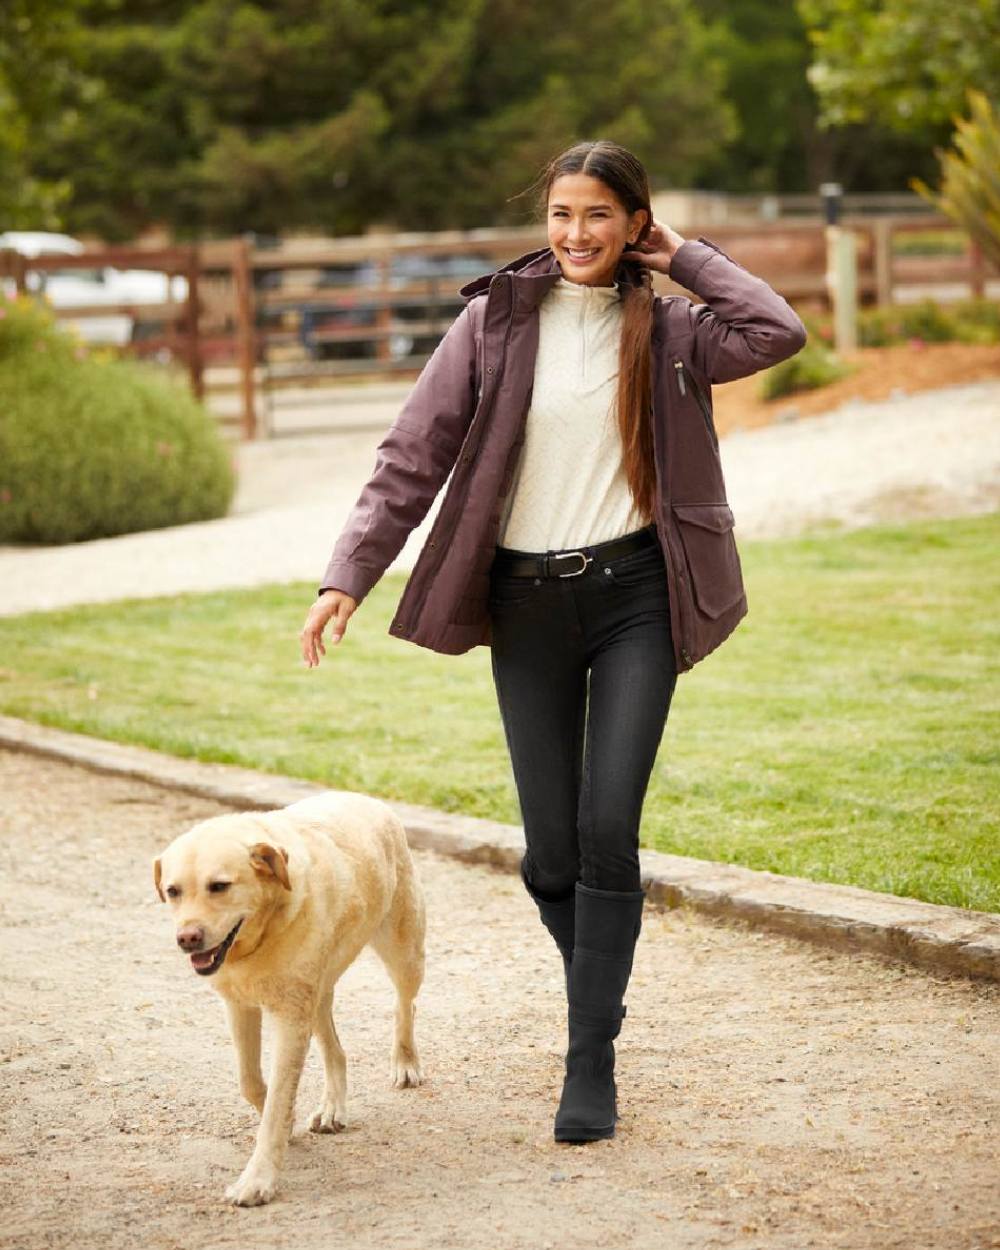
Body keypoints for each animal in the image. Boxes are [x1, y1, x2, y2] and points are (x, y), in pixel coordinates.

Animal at [153, 795, 425, 1205]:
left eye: (219, 886)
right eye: (173, 891)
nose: (187, 938)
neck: (260, 935)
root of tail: (367, 798)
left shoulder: (290, 1018)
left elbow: (277, 1103)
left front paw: (258, 1179)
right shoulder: (241, 1007)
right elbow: (250, 1082)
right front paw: (289, 1123)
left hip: (405, 955)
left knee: (403, 1005)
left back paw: (405, 1063)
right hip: (317, 993)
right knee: (335, 1050)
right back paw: (331, 1107)